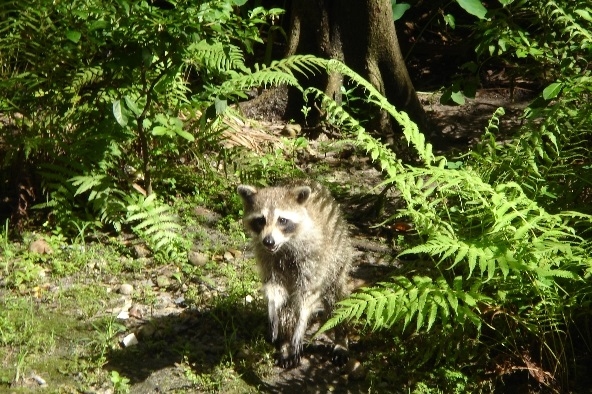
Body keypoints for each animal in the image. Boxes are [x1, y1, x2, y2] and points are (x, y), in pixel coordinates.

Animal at [238, 180, 354, 368]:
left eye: (282, 220)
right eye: (260, 220)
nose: (268, 241)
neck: (284, 245)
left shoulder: (315, 255)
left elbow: (308, 294)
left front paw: (302, 321)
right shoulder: (266, 257)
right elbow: (274, 289)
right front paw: (273, 310)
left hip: (339, 254)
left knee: (337, 297)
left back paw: (341, 339)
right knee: (286, 307)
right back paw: (285, 342)